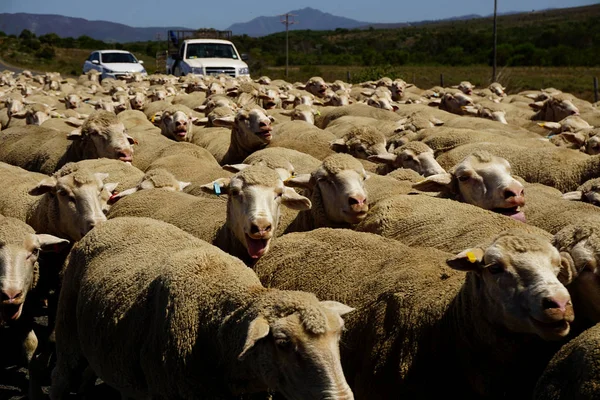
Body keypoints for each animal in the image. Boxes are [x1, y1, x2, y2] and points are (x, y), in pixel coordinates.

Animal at [51, 217, 354, 400]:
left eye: (340, 335)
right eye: (282, 343)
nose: (341, 398)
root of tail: (110, 222)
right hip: (67, 329)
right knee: (62, 376)